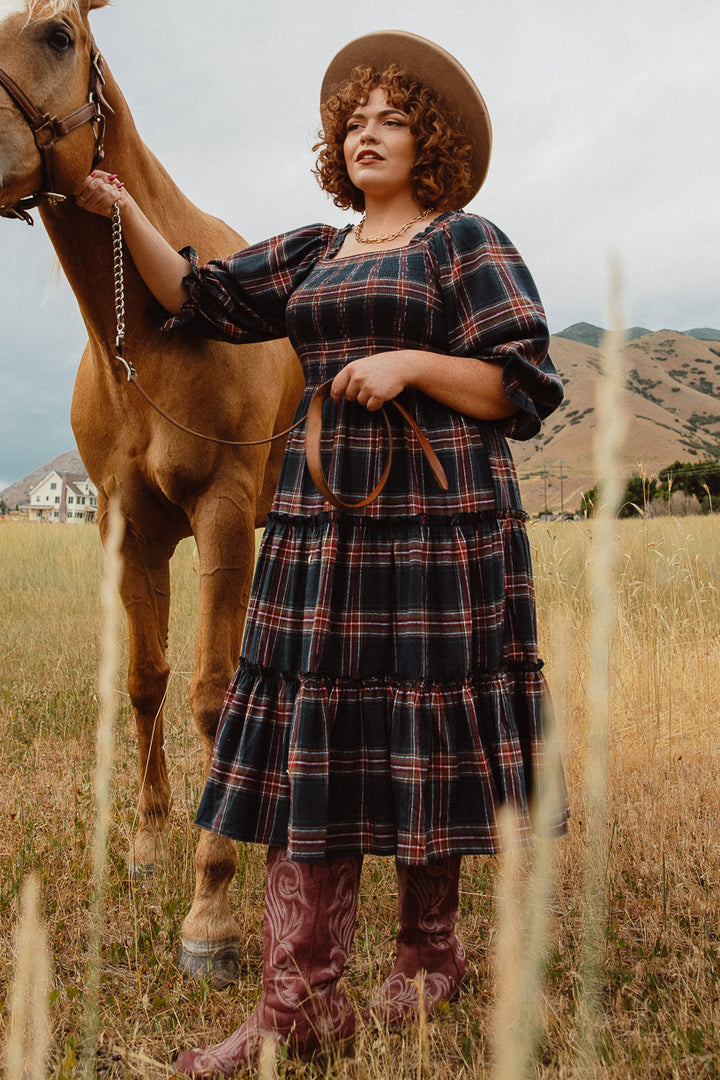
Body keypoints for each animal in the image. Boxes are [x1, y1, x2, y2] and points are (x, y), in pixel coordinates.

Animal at [0, 0, 304, 984]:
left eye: (58, 32)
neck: (156, 334)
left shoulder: (221, 512)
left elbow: (211, 693)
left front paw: (212, 907)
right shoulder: (129, 526)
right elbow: (145, 681)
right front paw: (146, 843)